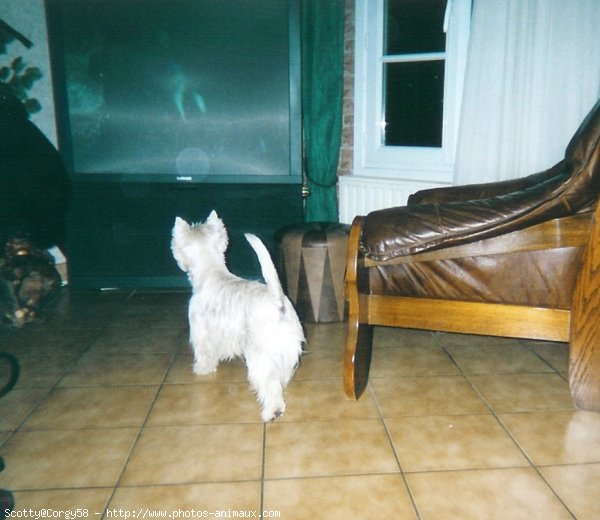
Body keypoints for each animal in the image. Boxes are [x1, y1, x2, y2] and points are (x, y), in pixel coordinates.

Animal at [172, 209, 304, 420]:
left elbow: (204, 353)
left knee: (269, 384)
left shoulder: (201, 332)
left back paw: (272, 411)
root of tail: (277, 301)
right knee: (281, 376)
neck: (210, 273)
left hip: (260, 355)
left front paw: (202, 369)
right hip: (289, 348)